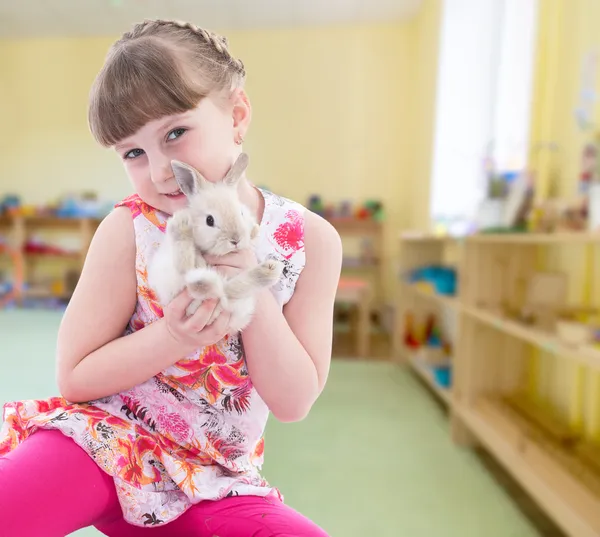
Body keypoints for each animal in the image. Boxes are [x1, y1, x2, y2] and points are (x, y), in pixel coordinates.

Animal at [148, 153, 284, 332]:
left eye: (240, 212)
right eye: (209, 220)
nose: (236, 240)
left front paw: (253, 231)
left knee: (227, 289)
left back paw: (269, 271)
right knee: (188, 272)